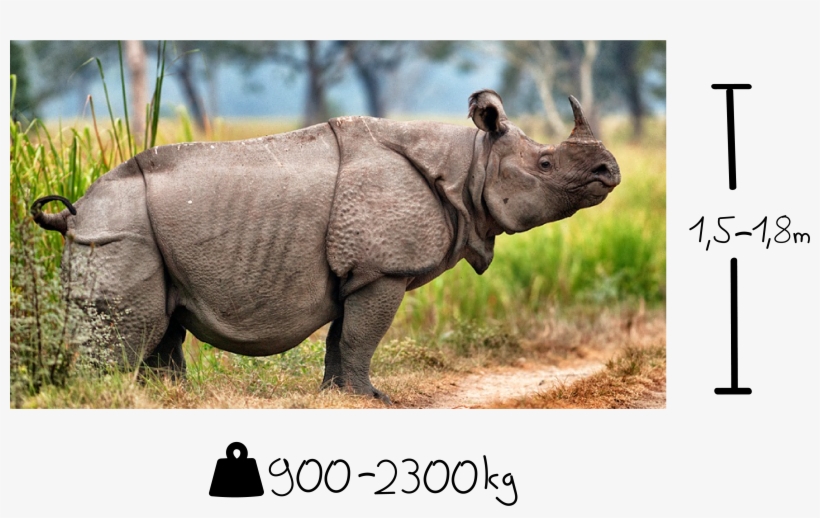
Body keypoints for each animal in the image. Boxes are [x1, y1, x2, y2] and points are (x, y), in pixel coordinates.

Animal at [31, 90, 620, 403]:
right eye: (546, 163)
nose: (609, 172)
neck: (469, 164)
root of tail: (73, 212)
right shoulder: (382, 268)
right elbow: (362, 335)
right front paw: (374, 399)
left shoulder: (359, 271)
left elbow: (343, 336)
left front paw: (340, 396)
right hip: (114, 228)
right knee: (130, 331)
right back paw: (99, 397)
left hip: (130, 230)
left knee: (164, 327)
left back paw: (168, 398)